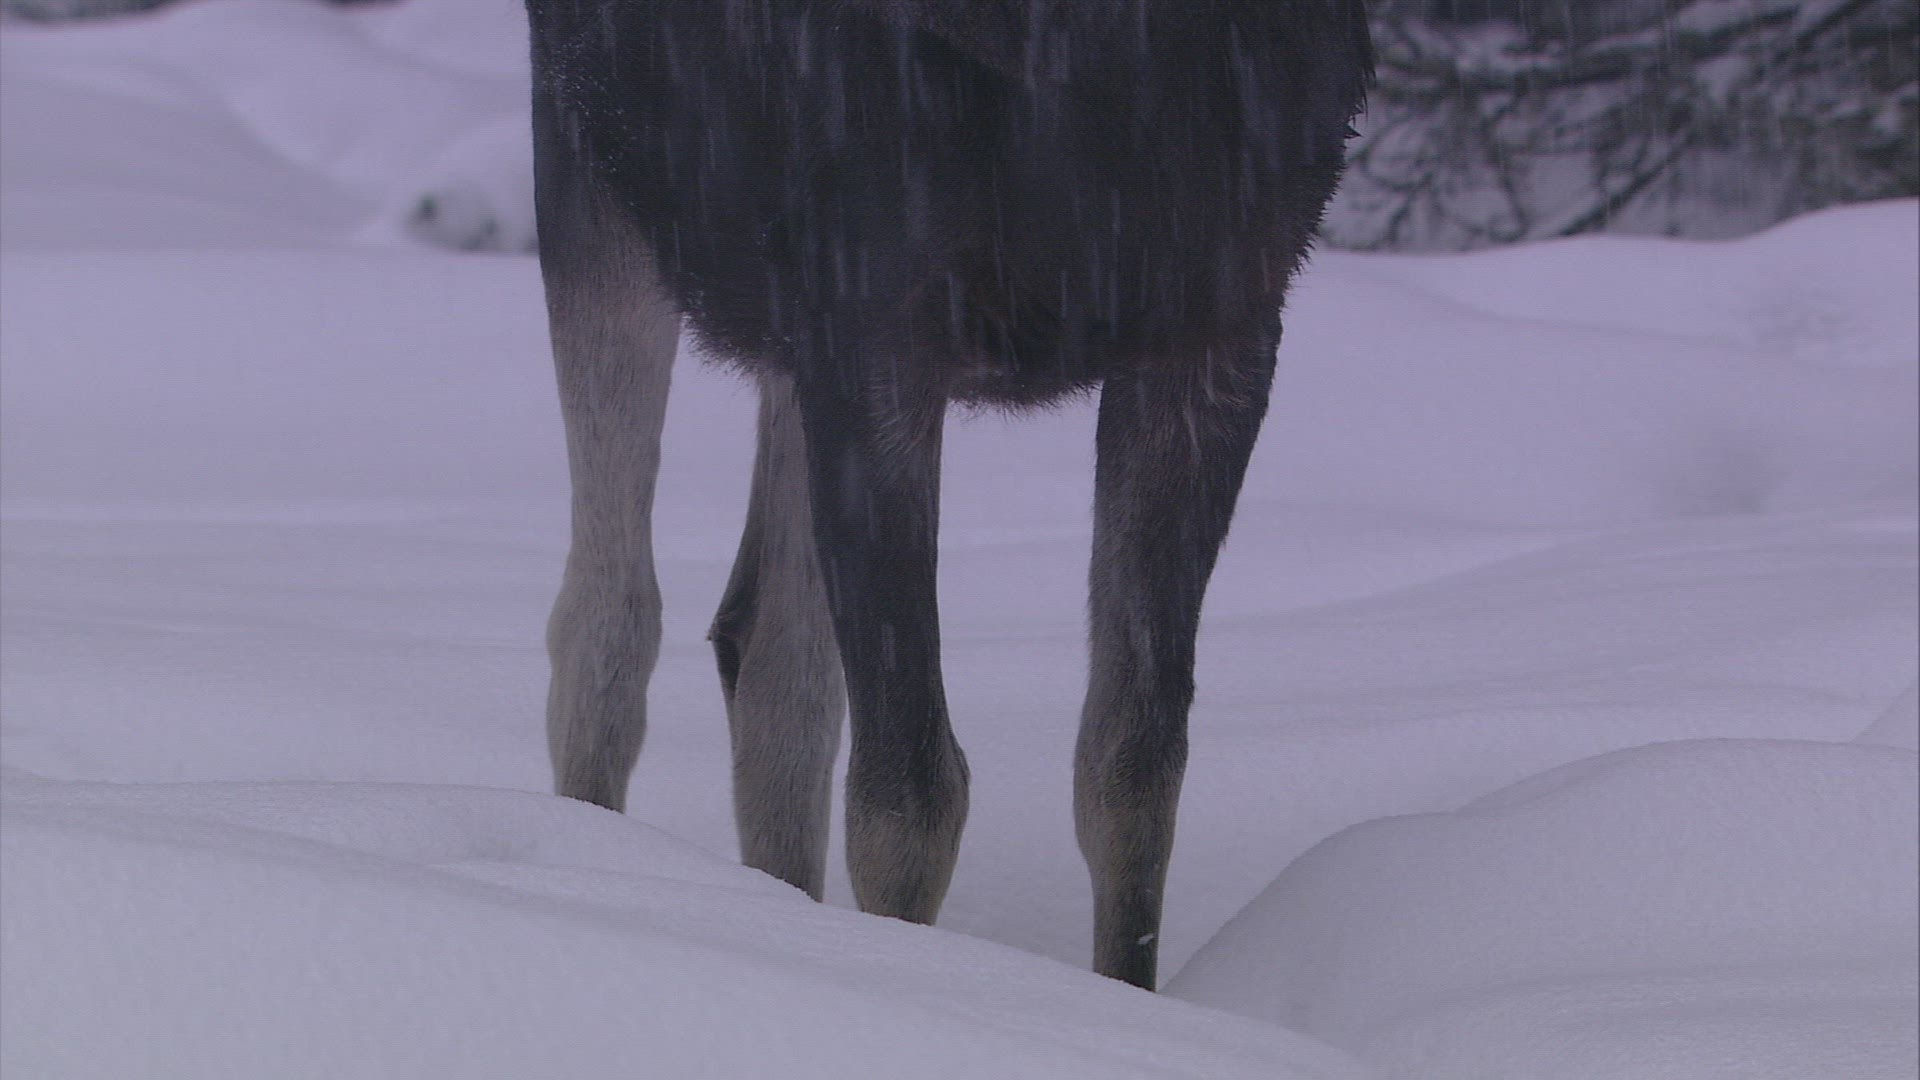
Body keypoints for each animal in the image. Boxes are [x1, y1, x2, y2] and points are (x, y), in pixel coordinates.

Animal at [526, 0, 1372, 990]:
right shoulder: (868, 308)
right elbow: (910, 799)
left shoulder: (1221, 306)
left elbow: (1132, 769)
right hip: (605, 164)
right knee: (607, 620)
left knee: (771, 648)